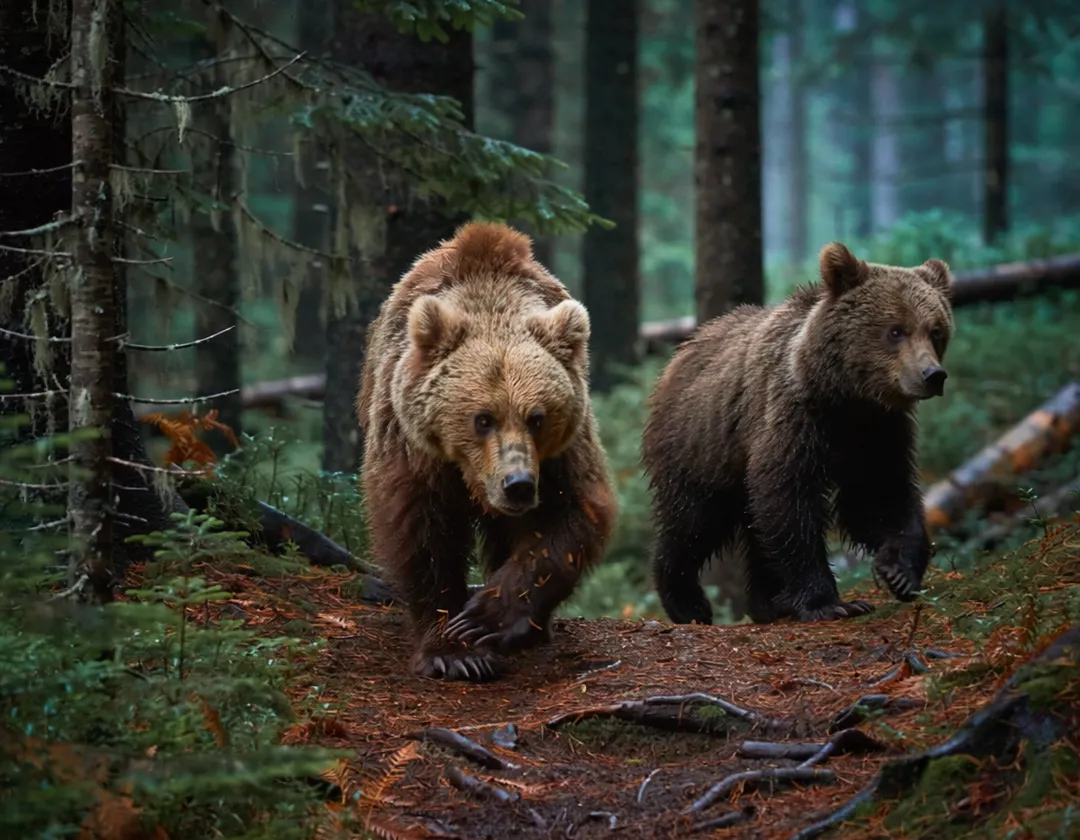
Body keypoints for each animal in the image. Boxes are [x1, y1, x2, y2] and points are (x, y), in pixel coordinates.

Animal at [356, 221, 617, 682]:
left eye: (537, 417)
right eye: (483, 418)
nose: (518, 484)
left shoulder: (562, 454)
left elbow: (569, 519)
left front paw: (488, 618)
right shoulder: (413, 446)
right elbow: (421, 531)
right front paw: (454, 650)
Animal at [640, 241, 954, 626]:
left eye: (935, 330)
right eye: (896, 330)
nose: (932, 375)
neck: (847, 398)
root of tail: (681, 352)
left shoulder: (879, 430)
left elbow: (880, 494)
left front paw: (899, 571)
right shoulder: (795, 418)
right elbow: (789, 500)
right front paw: (831, 602)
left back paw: (768, 602)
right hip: (701, 443)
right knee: (694, 521)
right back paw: (687, 602)